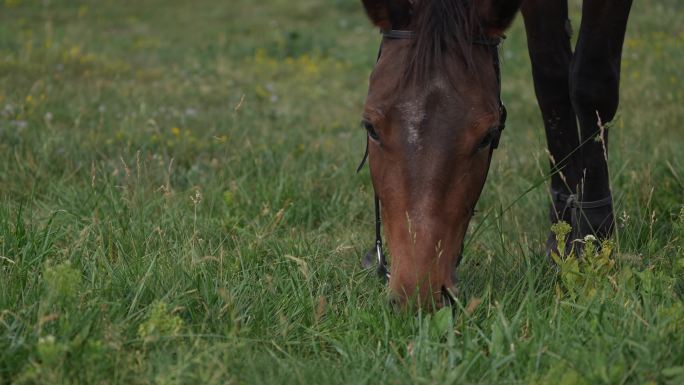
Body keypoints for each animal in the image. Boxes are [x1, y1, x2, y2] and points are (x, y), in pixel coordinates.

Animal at [356, 0, 632, 306]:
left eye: (486, 137)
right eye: (371, 128)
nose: (417, 294)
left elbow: (590, 81)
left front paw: (593, 238)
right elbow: (551, 81)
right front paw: (562, 237)